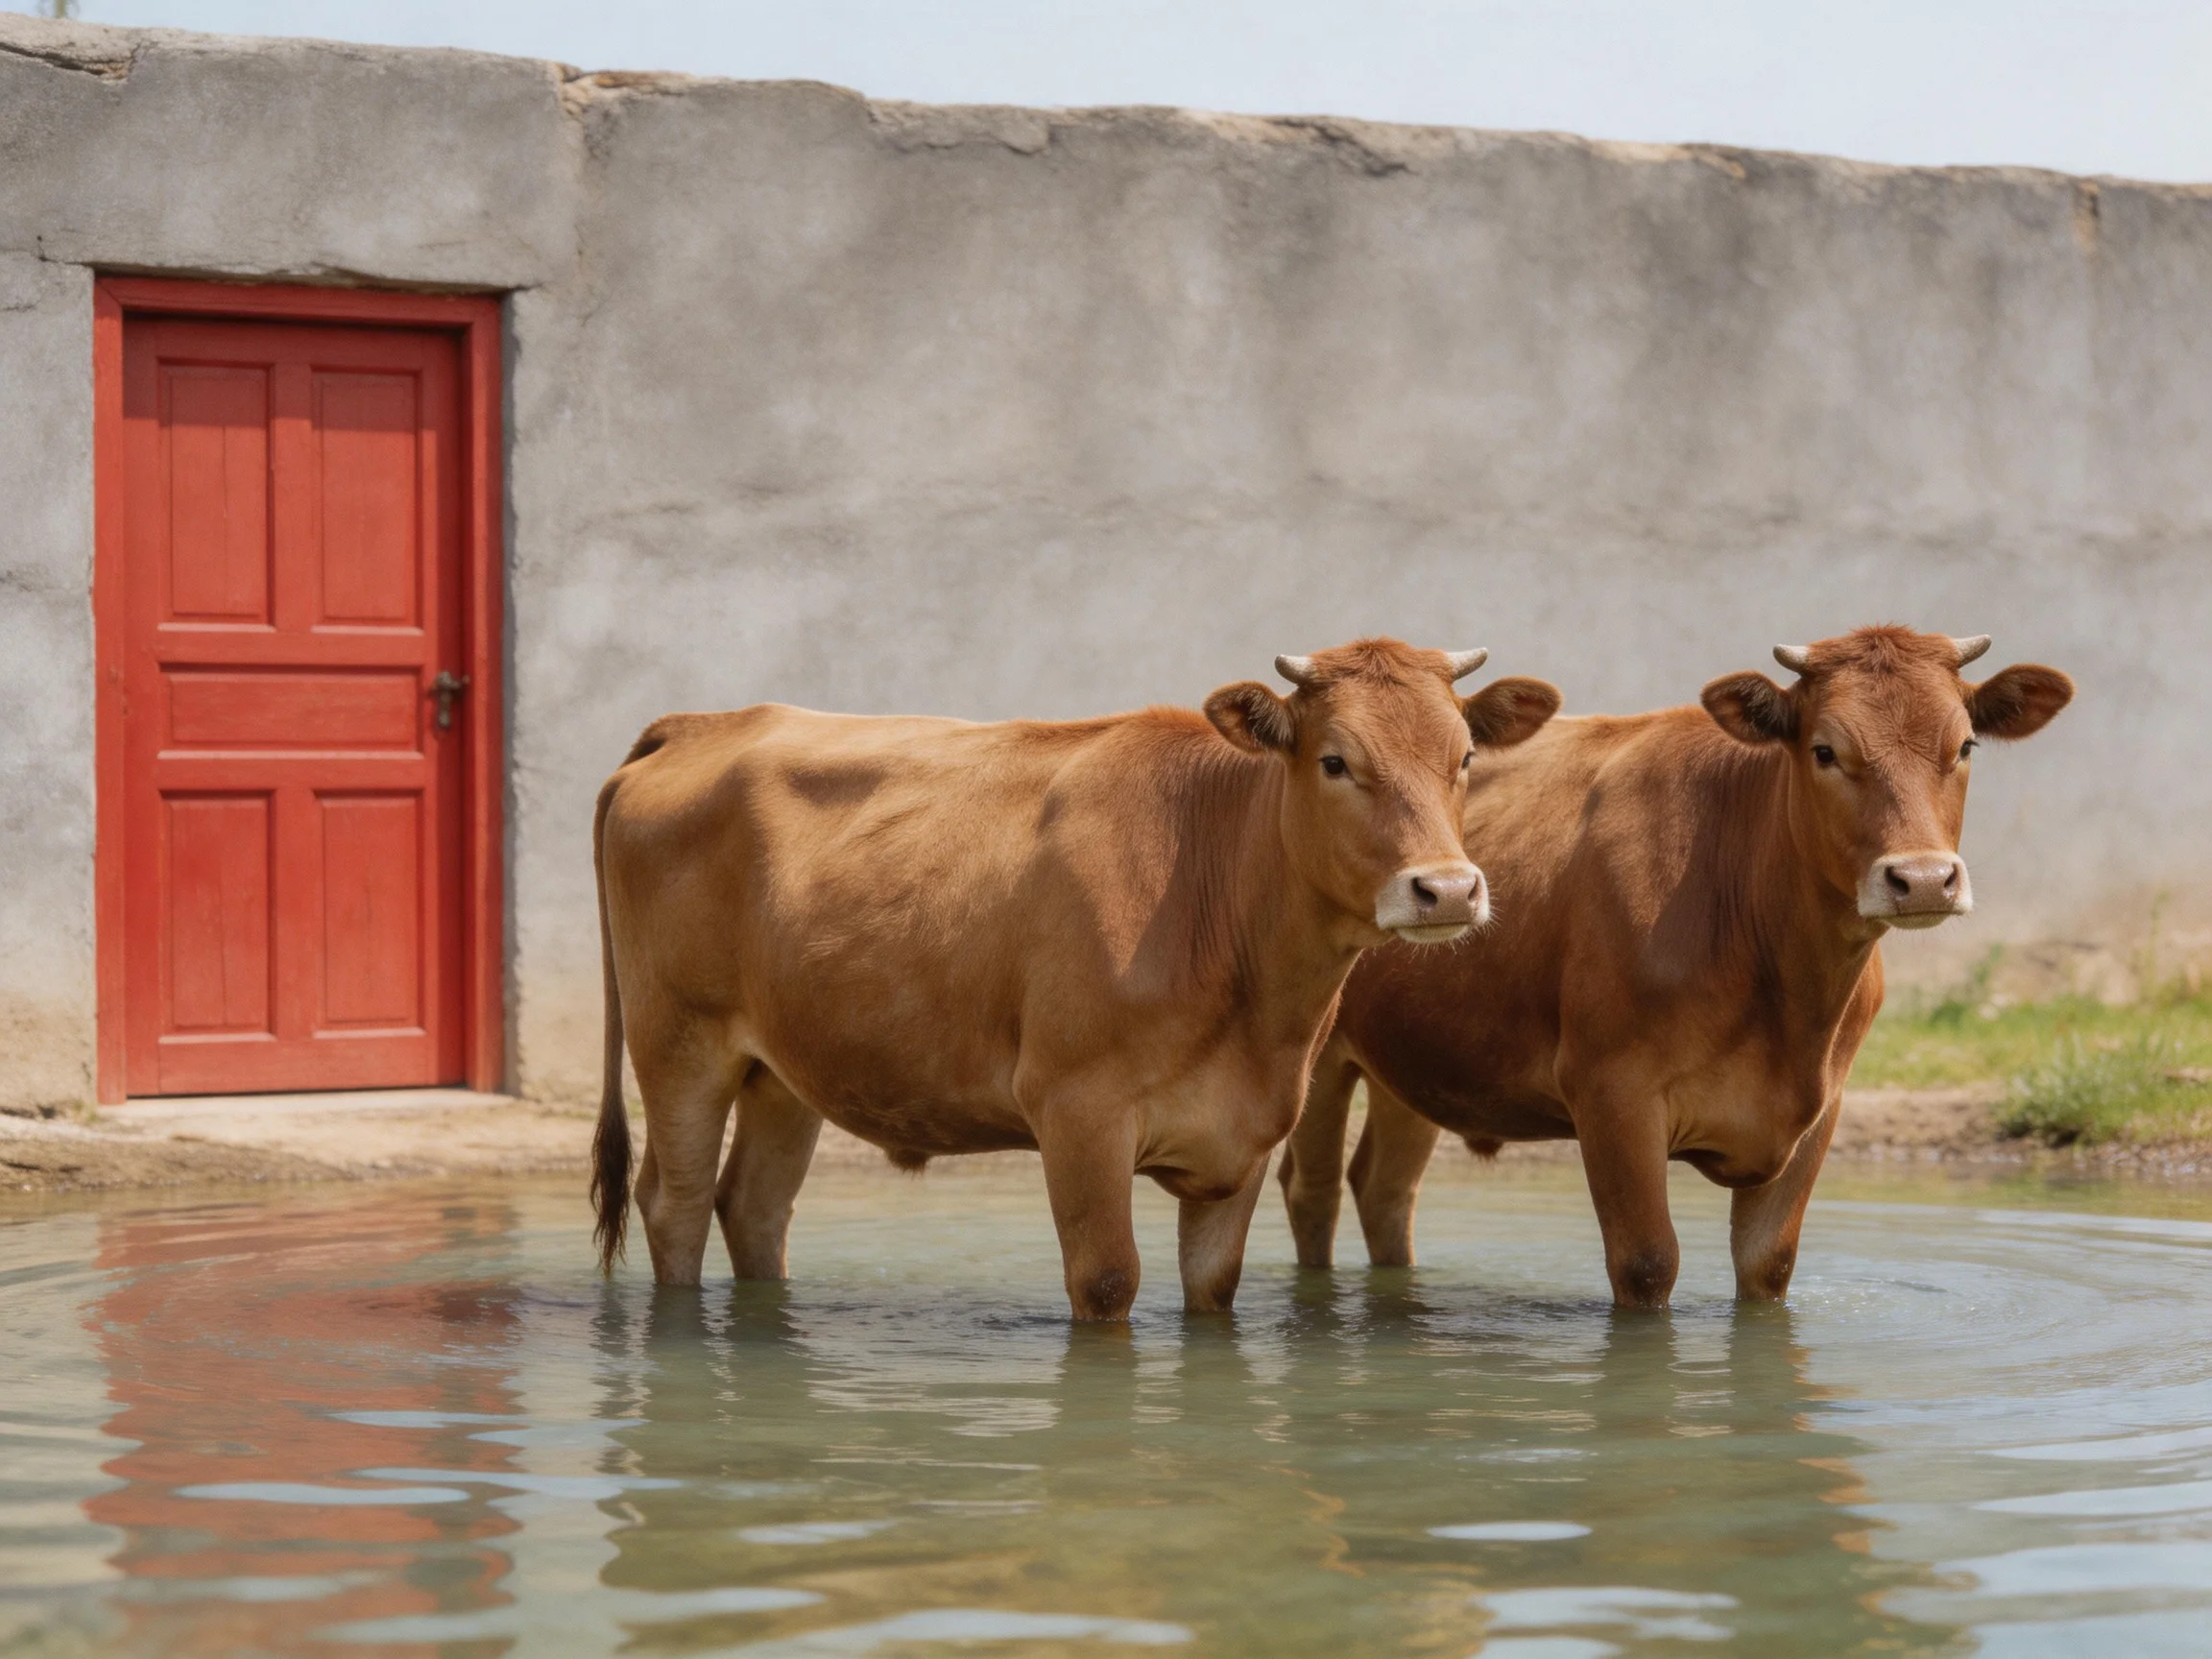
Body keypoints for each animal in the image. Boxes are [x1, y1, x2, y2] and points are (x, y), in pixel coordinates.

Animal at [590, 639, 1562, 1321]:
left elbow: (1214, 1286)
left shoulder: (1245, 1138)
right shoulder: (1077, 1112)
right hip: (679, 1043)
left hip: (786, 1066)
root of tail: (705, 722)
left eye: (1464, 759)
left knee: (751, 1205)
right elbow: (1105, 1280)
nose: (1447, 888)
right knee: (674, 1203)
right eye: (1335, 760)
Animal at [1279, 626, 2072, 1308]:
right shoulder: (1612, 1094)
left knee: (1383, 1188)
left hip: (1414, 1057)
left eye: (1965, 745)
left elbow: (1769, 1265)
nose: (1924, 879)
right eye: (1824, 750)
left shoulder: (1820, 1113)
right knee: (1311, 1187)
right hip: (1321, 1054)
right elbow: (1647, 1263)